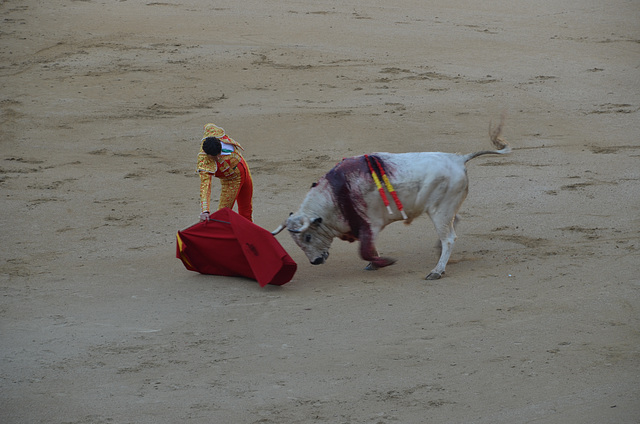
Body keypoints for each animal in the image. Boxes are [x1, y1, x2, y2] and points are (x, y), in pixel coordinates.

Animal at [272, 117, 512, 280]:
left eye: (307, 237)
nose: (315, 262)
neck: (334, 197)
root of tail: (458, 158)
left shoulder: (370, 224)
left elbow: (365, 250)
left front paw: (384, 262)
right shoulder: (364, 227)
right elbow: (368, 249)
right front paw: (376, 264)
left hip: (439, 211)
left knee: (449, 238)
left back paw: (436, 271)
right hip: (444, 208)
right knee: (455, 223)